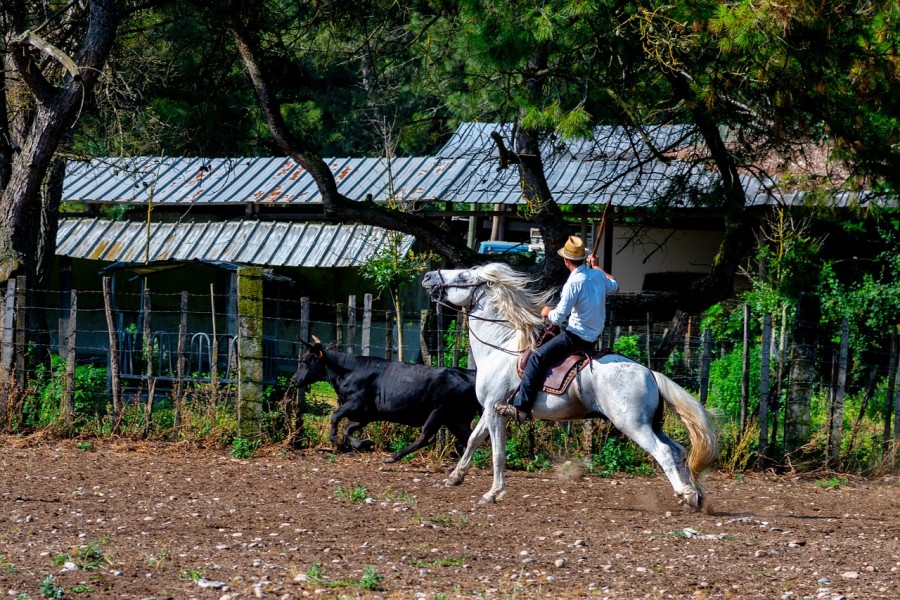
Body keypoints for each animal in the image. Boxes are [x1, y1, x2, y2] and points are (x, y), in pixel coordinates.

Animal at [292, 340, 482, 462]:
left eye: (305, 360)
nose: (294, 380)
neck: (347, 371)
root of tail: (468, 373)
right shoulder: (367, 414)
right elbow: (348, 428)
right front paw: (363, 443)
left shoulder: (356, 404)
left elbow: (335, 417)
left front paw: (337, 440)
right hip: (456, 418)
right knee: (470, 438)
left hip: (439, 412)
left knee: (426, 436)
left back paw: (393, 457)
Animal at [420, 264, 716, 508]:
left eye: (463, 276)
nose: (428, 276)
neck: (502, 346)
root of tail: (649, 372)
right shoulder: (491, 410)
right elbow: (473, 439)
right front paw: (455, 477)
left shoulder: (495, 412)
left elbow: (497, 453)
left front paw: (493, 493)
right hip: (652, 424)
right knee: (679, 451)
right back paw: (695, 494)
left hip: (634, 425)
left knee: (664, 453)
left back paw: (687, 495)